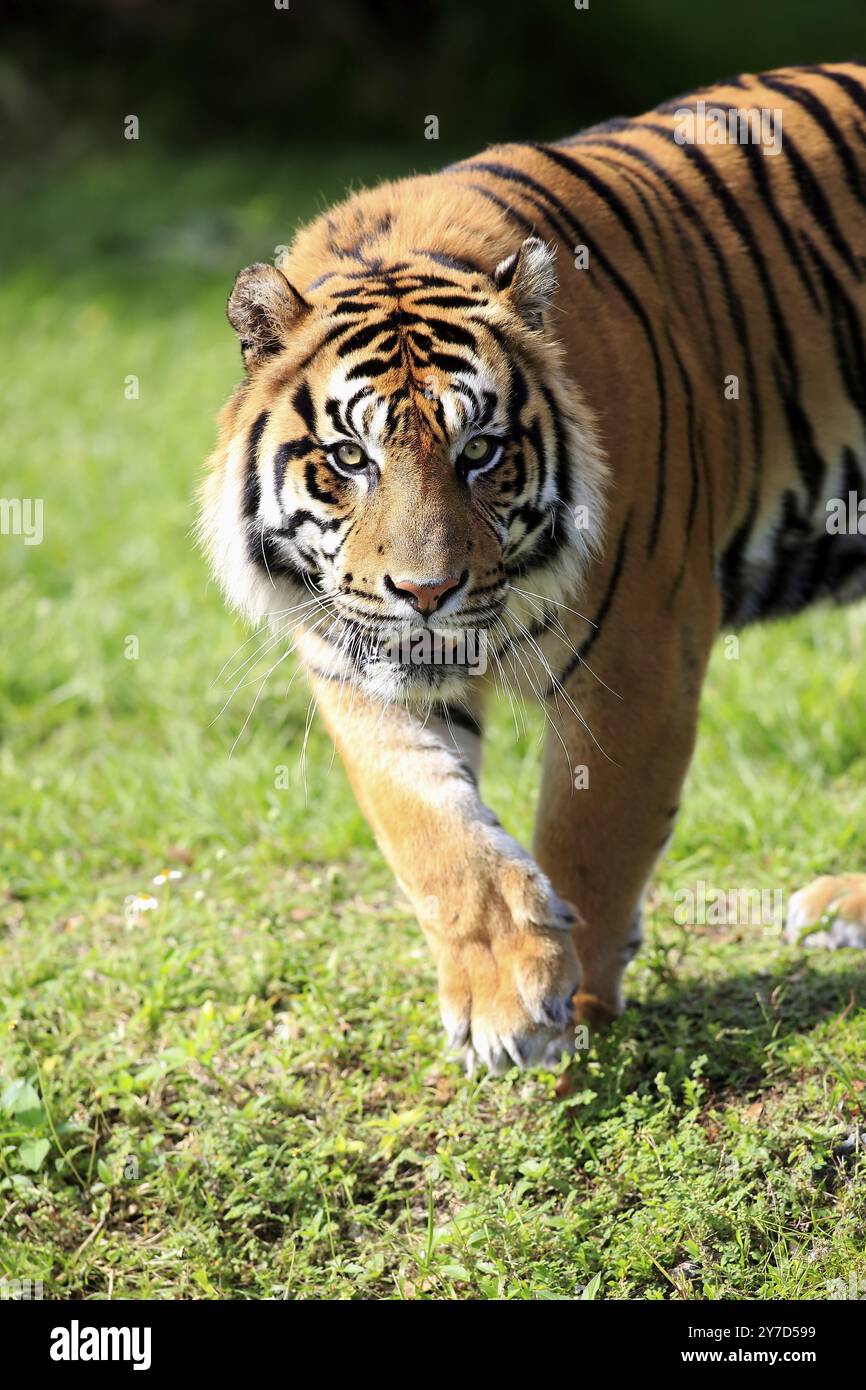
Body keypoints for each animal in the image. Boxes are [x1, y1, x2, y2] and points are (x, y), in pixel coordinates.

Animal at [200, 62, 866, 1073]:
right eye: (352, 458)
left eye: (480, 452)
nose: (425, 594)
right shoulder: (351, 658)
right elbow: (430, 829)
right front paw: (503, 992)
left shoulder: (644, 644)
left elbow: (594, 834)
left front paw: (574, 1010)